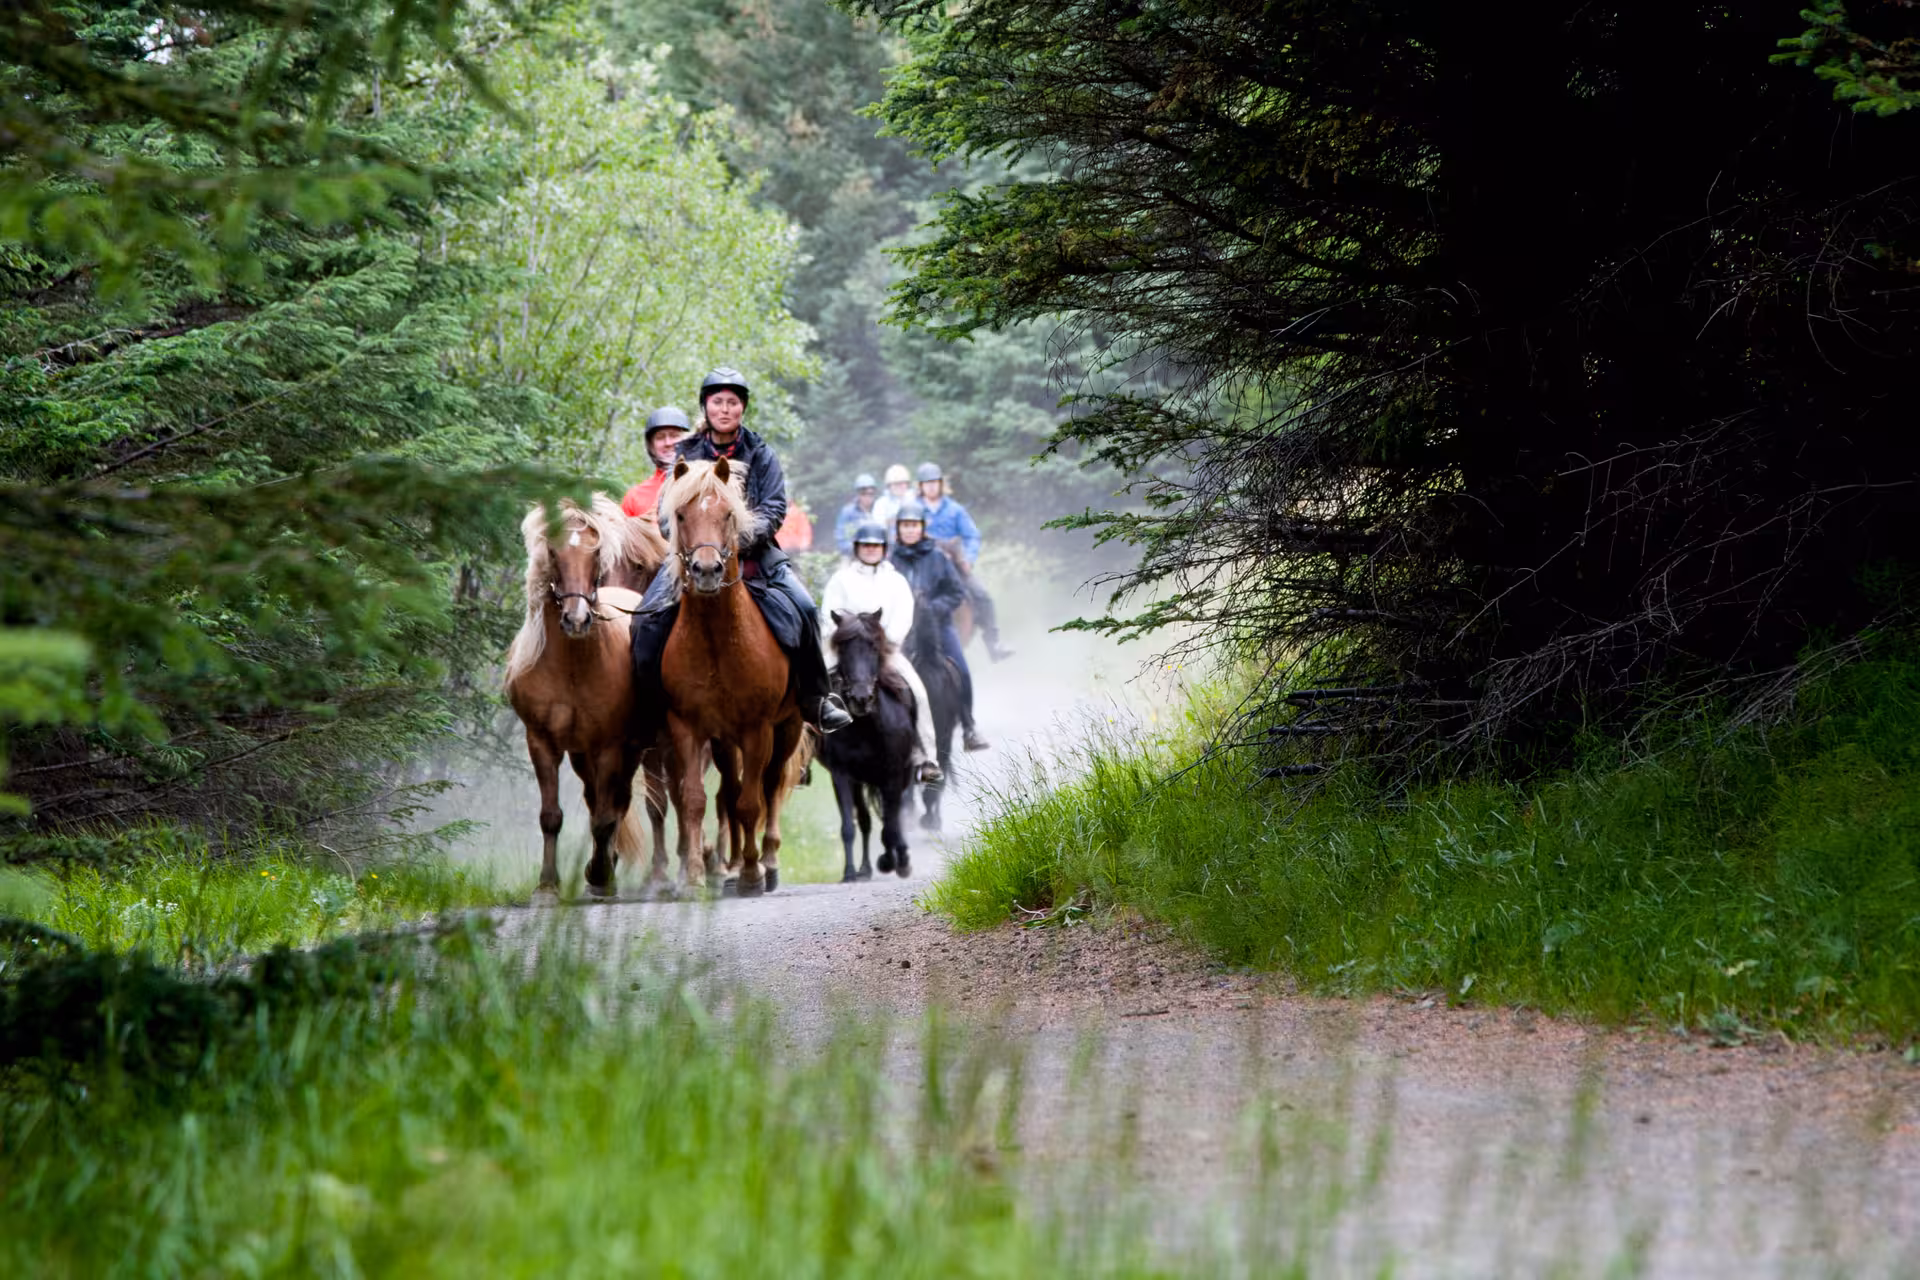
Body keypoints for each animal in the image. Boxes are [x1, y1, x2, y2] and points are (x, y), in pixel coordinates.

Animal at [504, 496, 672, 895]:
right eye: (552, 550)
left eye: (596, 553)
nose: (576, 620)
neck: (572, 667)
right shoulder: (542, 742)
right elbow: (552, 816)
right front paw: (547, 886)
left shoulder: (610, 745)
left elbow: (605, 817)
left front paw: (599, 874)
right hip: (585, 754)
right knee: (603, 799)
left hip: (643, 746)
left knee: (637, 803)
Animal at [658, 458, 807, 896]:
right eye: (680, 515)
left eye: (727, 514)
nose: (707, 571)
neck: (716, 642)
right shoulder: (687, 726)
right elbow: (695, 800)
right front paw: (692, 877)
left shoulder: (758, 729)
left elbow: (751, 803)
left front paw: (752, 874)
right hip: (724, 740)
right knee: (730, 789)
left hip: (787, 727)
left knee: (769, 787)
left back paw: (767, 861)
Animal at [817, 610, 916, 881]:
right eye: (843, 647)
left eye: (873, 646)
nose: (861, 698)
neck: (866, 727)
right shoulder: (842, 775)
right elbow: (849, 826)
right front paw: (850, 872)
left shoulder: (893, 775)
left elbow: (891, 825)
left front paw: (891, 861)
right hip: (859, 781)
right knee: (865, 819)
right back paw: (865, 868)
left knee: (893, 817)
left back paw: (900, 858)